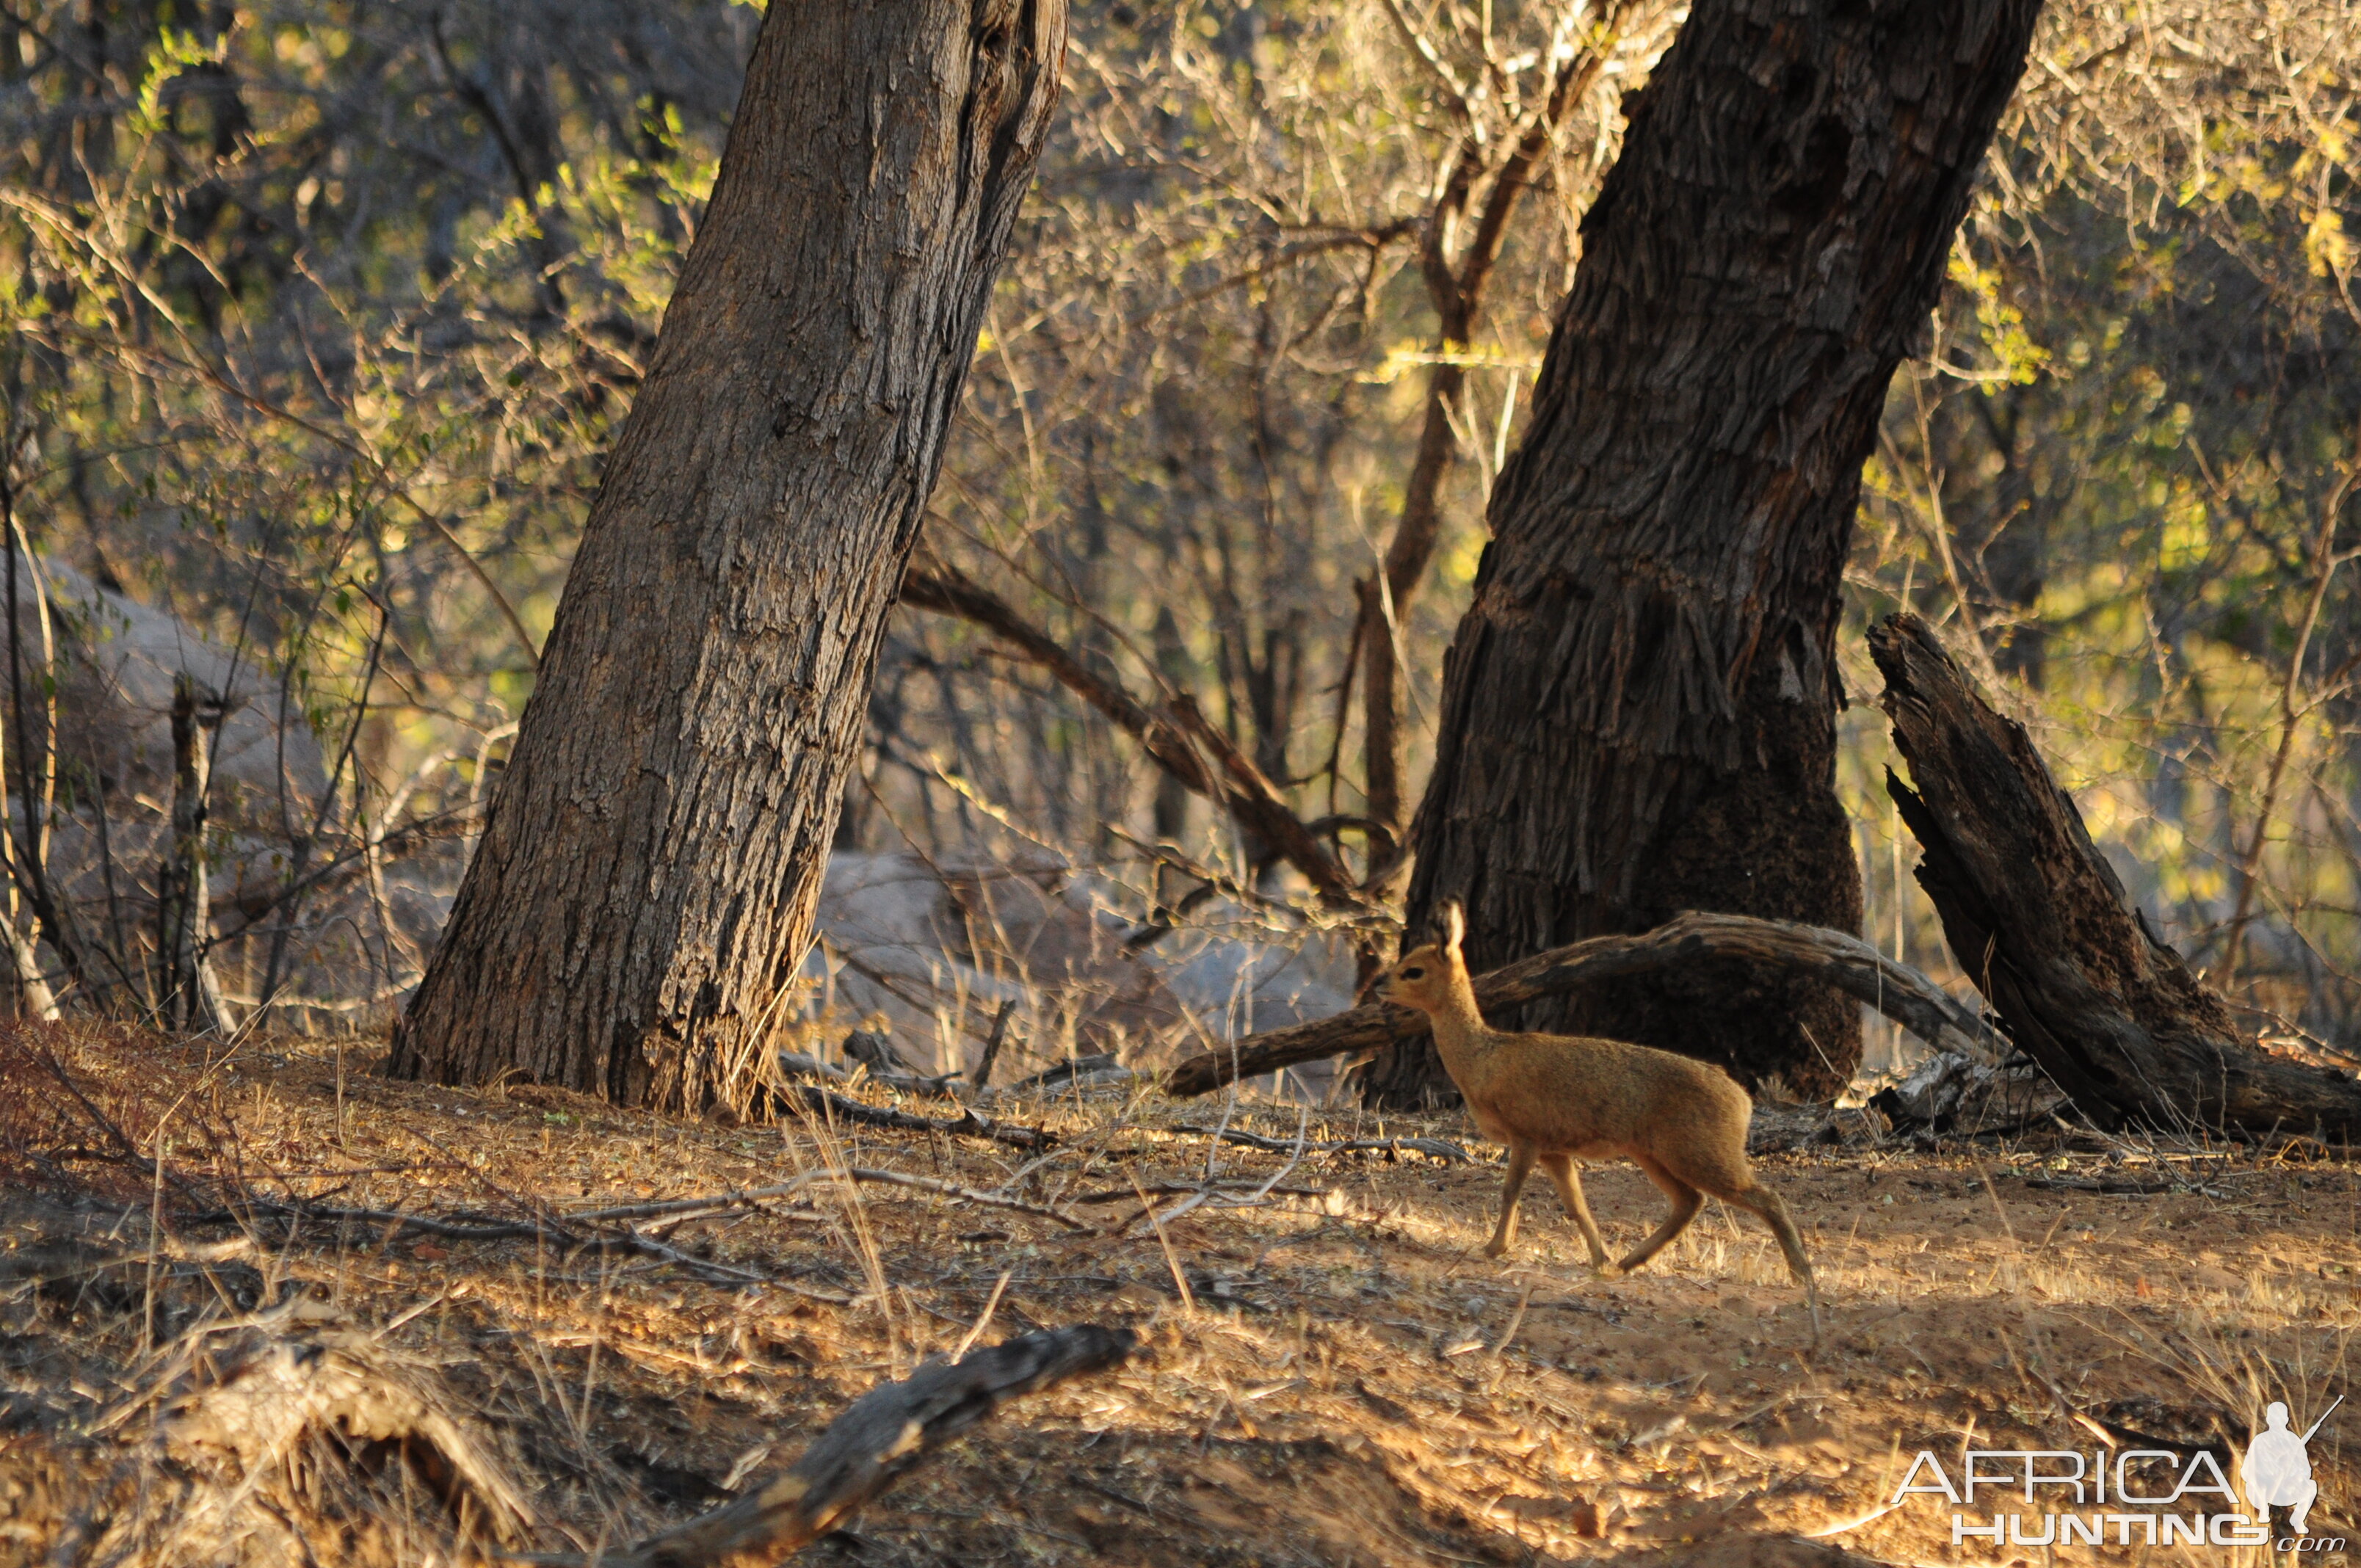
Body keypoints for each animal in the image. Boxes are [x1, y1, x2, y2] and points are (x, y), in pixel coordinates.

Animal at [1379, 907, 1822, 1332]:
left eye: (1413, 970)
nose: (1380, 987)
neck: (1483, 1061)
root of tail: (1743, 1100)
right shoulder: (1554, 1150)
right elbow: (1578, 1206)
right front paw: (1600, 1259)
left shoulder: (1526, 1135)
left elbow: (1510, 1192)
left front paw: (1493, 1248)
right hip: (1655, 1155)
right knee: (1689, 1202)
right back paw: (1628, 1262)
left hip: (1701, 1154)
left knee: (1767, 1198)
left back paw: (1803, 1276)